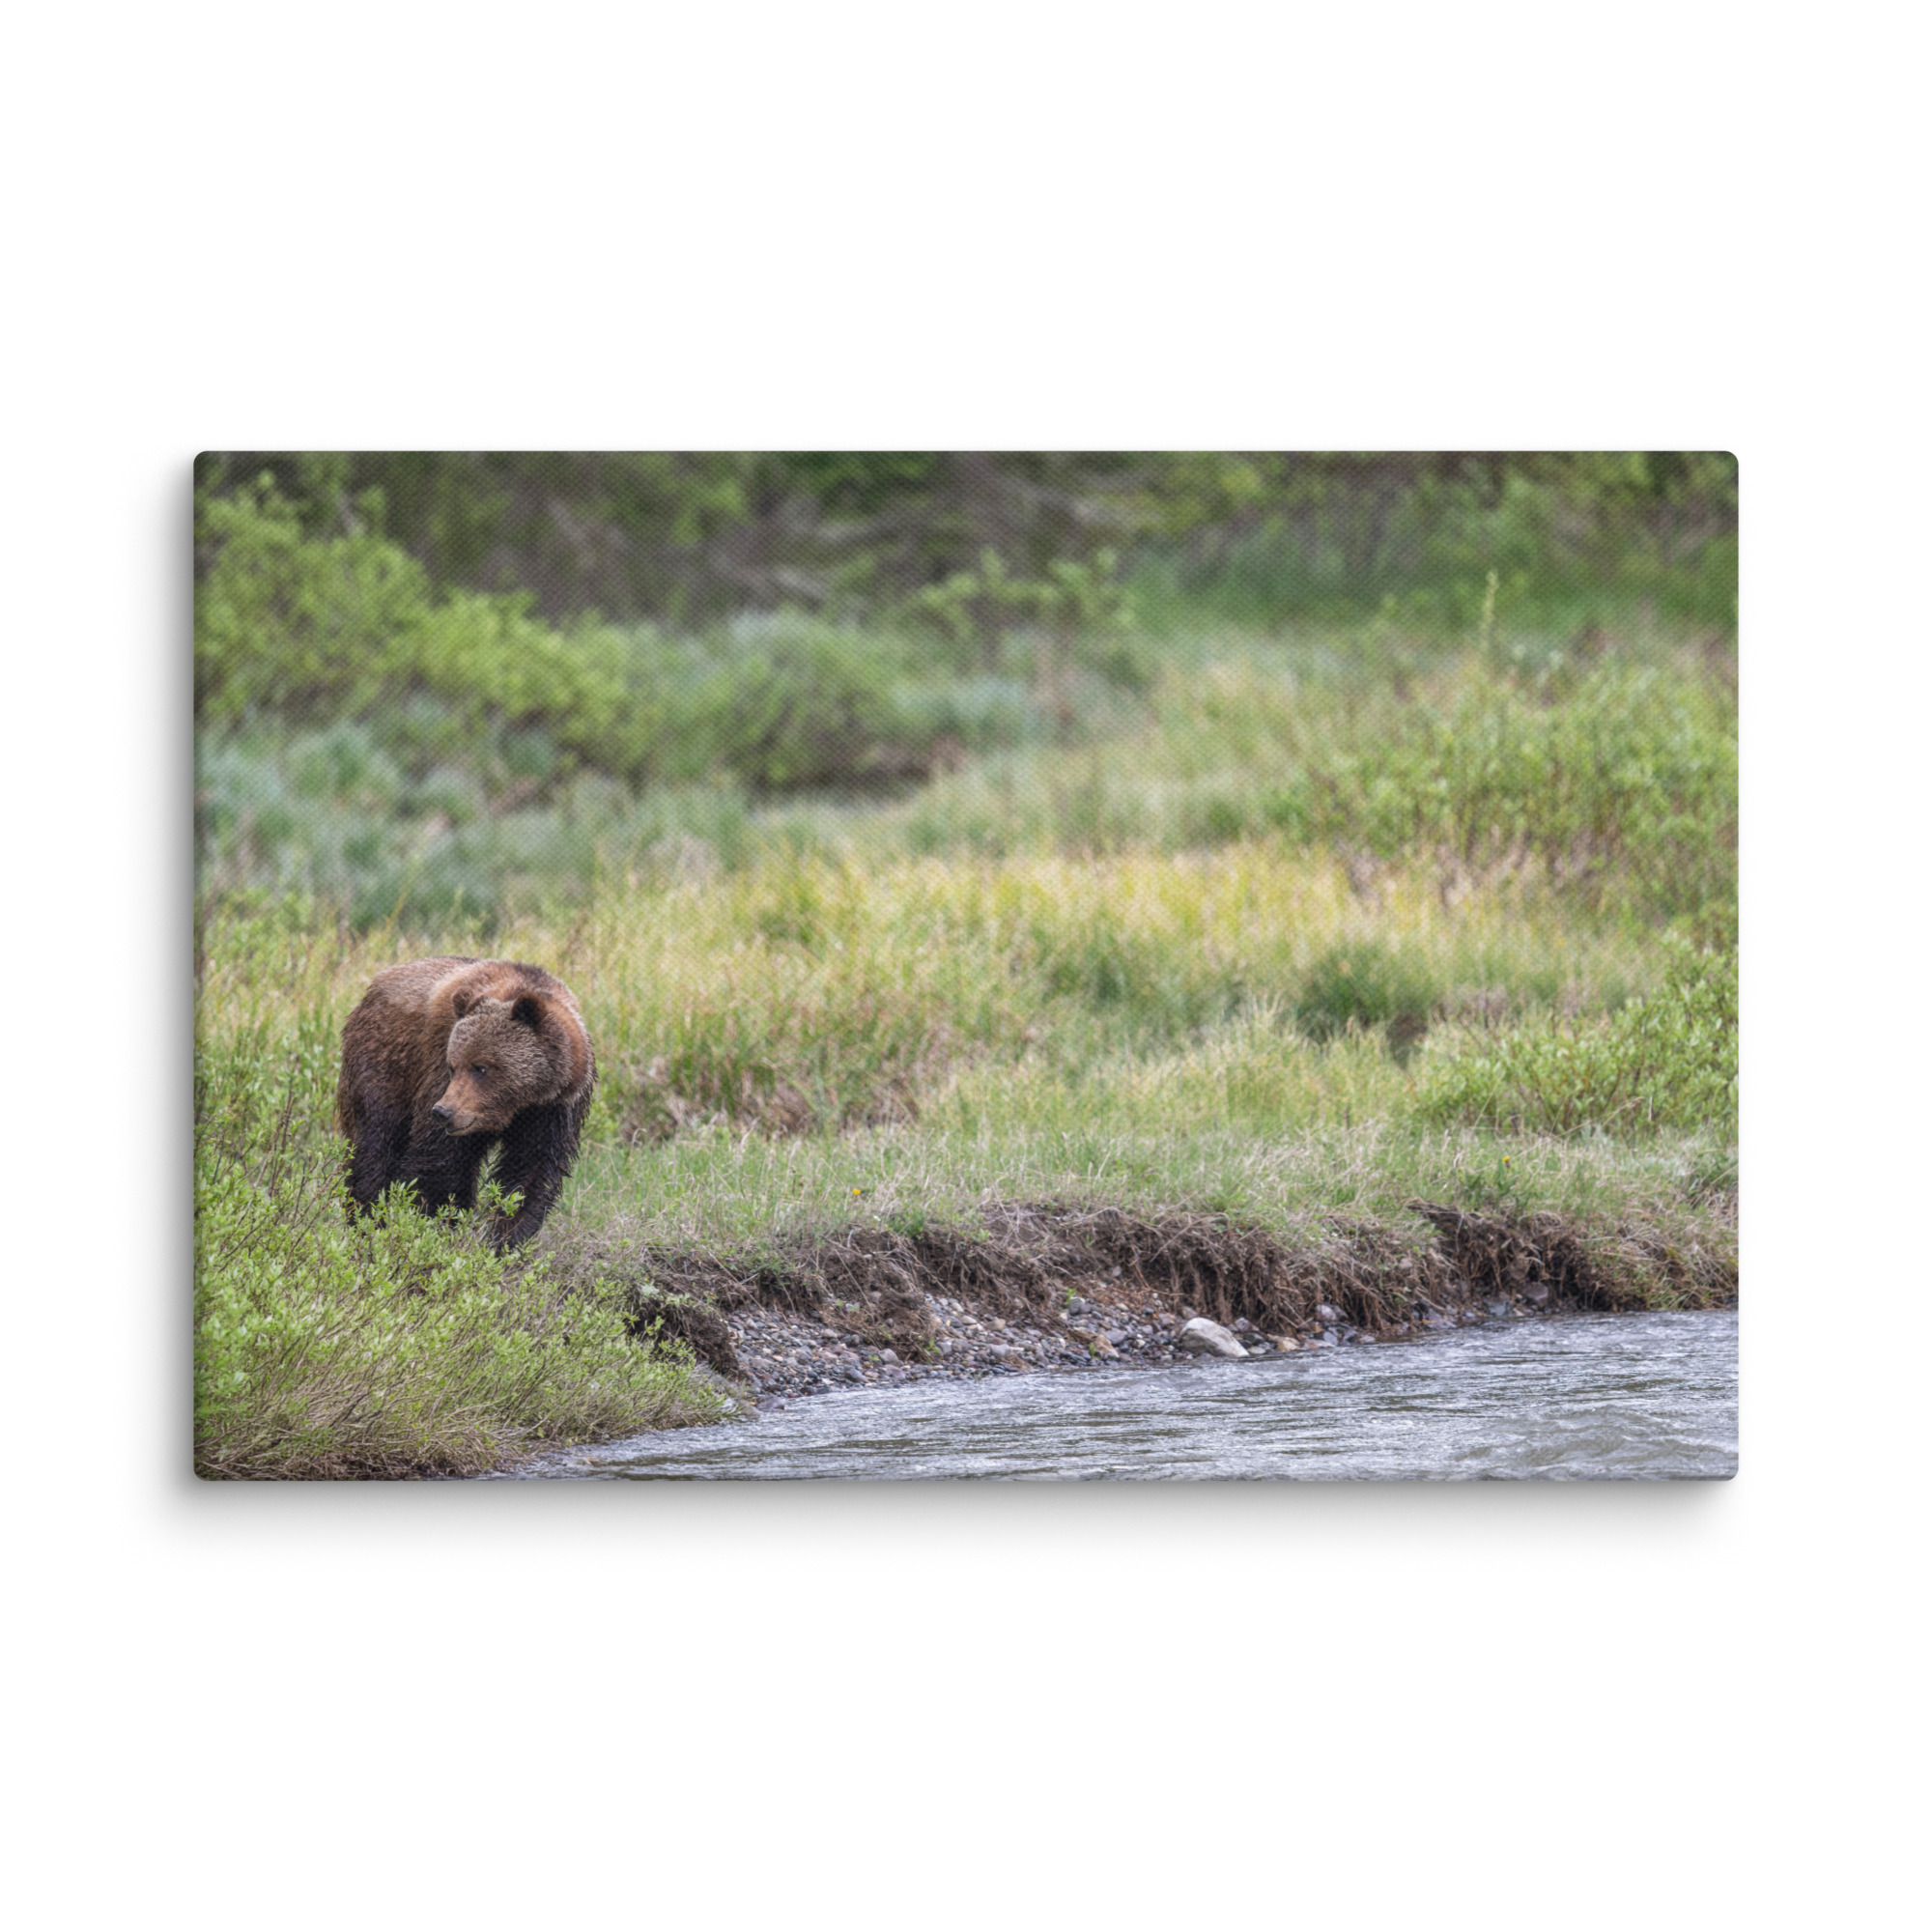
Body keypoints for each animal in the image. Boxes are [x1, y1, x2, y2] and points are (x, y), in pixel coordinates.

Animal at [336, 956, 596, 1250]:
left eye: (481, 1068)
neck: (518, 1105)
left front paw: (506, 1239)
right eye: (453, 1066)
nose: (443, 1112)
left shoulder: (553, 1110)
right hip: (385, 1065)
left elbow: (530, 1174)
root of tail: (374, 985)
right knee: (375, 1145)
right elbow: (440, 1164)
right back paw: (367, 1223)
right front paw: (436, 1227)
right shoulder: (437, 1071)